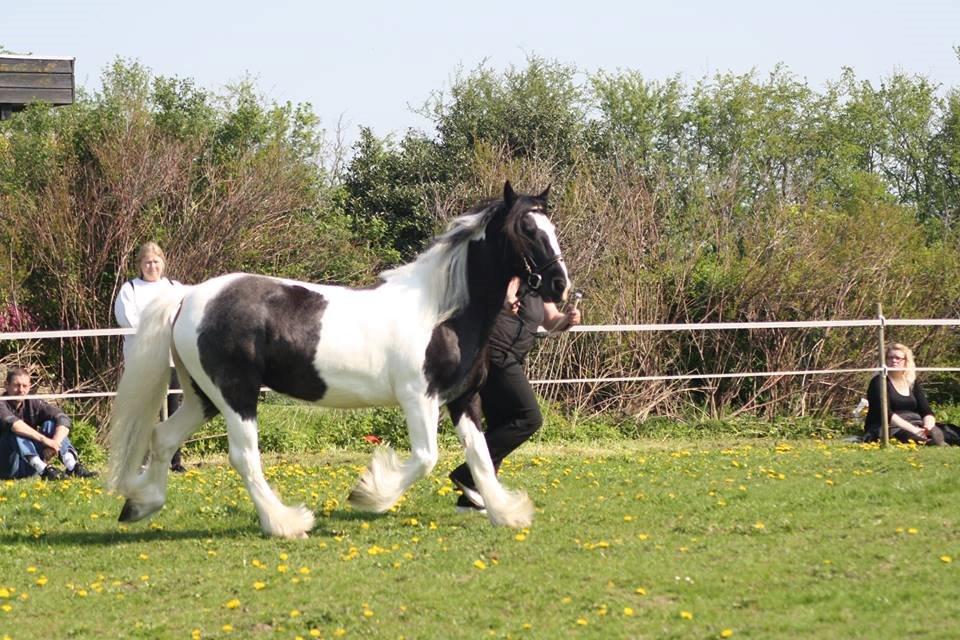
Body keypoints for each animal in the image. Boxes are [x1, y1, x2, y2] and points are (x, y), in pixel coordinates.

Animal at [107, 182, 568, 536]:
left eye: (551, 226)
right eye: (527, 228)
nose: (560, 286)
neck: (443, 314)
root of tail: (188, 296)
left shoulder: (463, 399)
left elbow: (481, 458)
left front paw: (506, 512)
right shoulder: (418, 398)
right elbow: (425, 458)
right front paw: (369, 493)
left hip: (203, 396)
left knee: (163, 437)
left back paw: (140, 504)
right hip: (236, 394)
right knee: (244, 456)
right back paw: (285, 523)